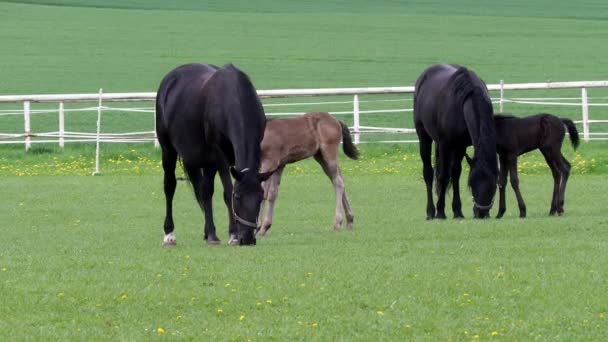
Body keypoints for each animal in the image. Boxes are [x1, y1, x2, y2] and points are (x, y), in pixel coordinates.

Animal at [157, 63, 270, 246]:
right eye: (237, 198)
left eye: (260, 198)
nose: (247, 239)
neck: (232, 98)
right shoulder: (219, 155)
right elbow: (226, 191)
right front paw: (233, 234)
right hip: (168, 150)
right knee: (169, 186)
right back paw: (169, 234)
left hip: (202, 160)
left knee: (204, 190)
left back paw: (209, 233)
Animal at [414, 64, 498, 219]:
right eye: (472, 184)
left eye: (493, 185)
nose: (481, 213)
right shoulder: (445, 145)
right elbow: (443, 176)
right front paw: (440, 212)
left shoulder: (461, 146)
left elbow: (455, 174)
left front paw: (458, 211)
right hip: (424, 137)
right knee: (428, 173)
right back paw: (430, 212)